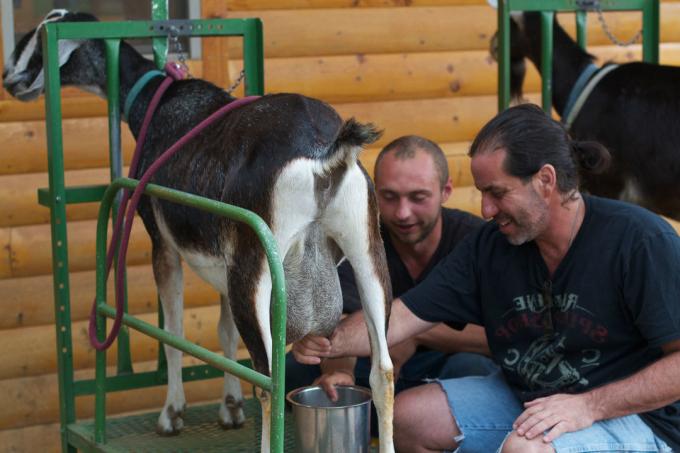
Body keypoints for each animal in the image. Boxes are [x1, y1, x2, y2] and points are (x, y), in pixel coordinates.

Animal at [5, 10, 396, 452]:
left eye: (41, 33)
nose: (10, 78)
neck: (159, 103)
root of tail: (323, 153)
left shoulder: (162, 241)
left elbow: (173, 331)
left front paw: (172, 413)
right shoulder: (224, 259)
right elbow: (224, 334)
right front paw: (230, 407)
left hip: (257, 264)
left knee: (269, 379)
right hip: (365, 249)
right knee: (382, 371)